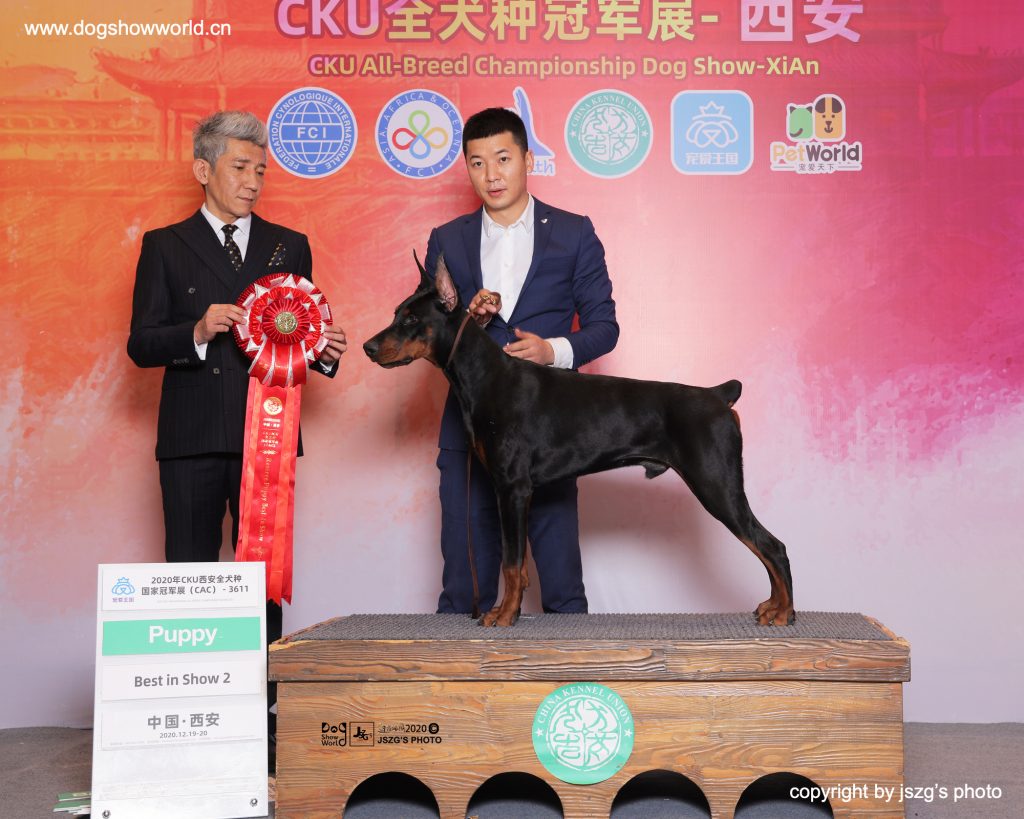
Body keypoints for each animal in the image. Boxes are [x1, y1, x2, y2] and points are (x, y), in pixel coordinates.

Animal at [363, 255, 794, 627]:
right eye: (396, 312)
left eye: (412, 318)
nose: (368, 347)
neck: (484, 375)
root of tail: (718, 395)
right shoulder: (510, 492)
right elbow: (516, 563)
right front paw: (506, 610)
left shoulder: (512, 488)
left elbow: (511, 562)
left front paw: (504, 616)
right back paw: (773, 606)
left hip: (716, 484)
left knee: (772, 546)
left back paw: (784, 612)